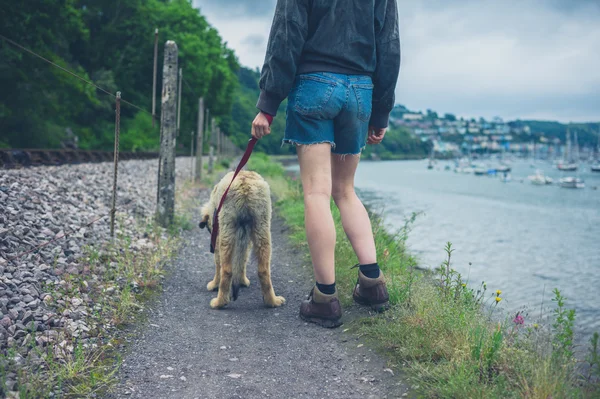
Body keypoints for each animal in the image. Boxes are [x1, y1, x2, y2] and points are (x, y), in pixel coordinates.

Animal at [199, 170, 286, 310]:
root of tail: (245, 187)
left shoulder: (217, 238)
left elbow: (218, 265)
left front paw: (214, 284)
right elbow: (243, 260)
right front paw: (242, 281)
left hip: (227, 232)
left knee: (226, 270)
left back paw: (219, 302)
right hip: (262, 229)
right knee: (263, 270)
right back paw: (272, 301)